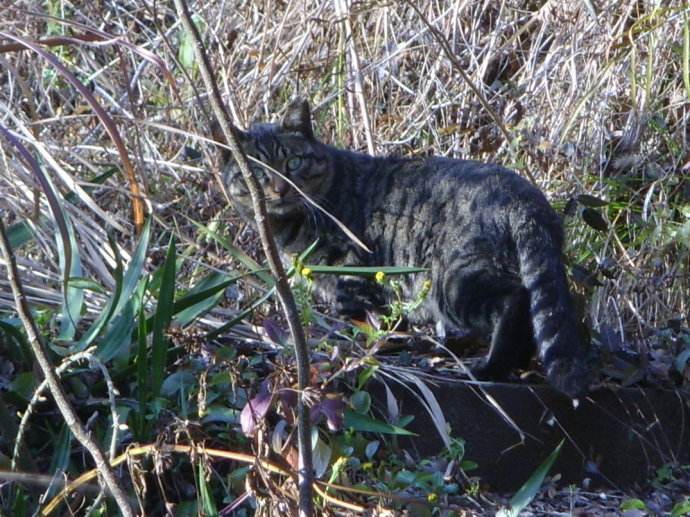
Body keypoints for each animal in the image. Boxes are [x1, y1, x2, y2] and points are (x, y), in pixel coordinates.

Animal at [219, 97, 592, 398]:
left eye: (293, 163)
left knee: (513, 301)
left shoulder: (352, 274)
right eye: (256, 174)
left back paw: (489, 367)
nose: (280, 189)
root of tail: (527, 201)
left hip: (454, 281)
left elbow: (362, 323)